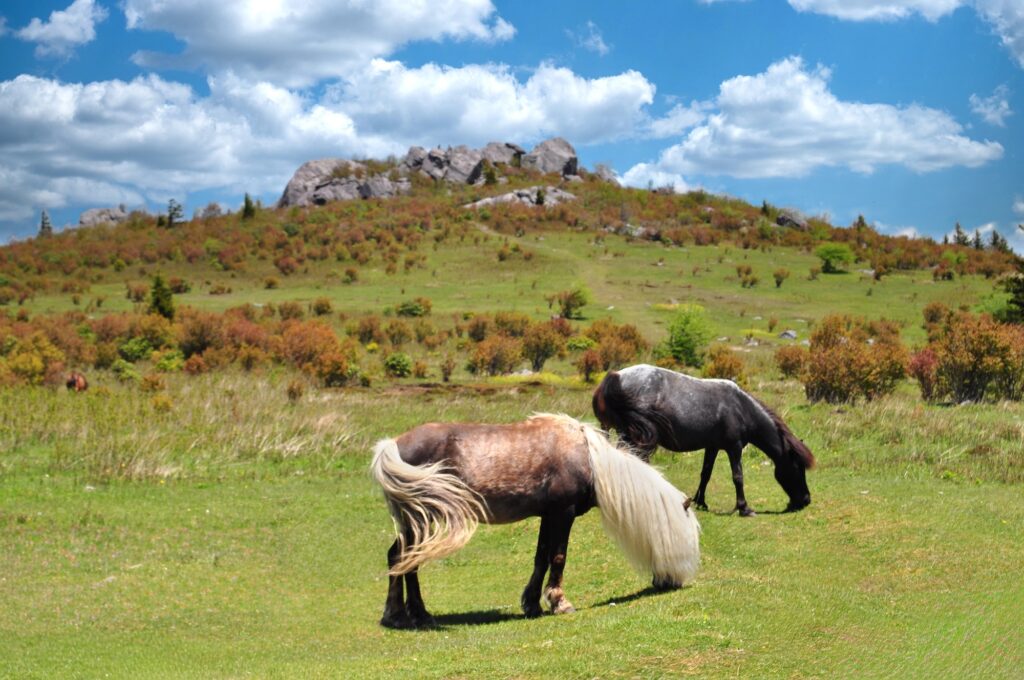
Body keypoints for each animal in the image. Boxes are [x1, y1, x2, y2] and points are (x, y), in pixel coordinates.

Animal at [371, 413, 700, 629]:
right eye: (686, 541)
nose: (675, 582)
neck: (588, 459)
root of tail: (393, 445)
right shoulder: (563, 513)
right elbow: (558, 557)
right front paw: (559, 602)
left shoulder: (548, 515)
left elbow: (541, 557)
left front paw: (531, 603)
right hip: (419, 517)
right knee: (405, 558)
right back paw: (406, 615)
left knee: (402, 558)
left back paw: (407, 614)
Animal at [593, 364, 815, 517]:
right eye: (798, 468)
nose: (806, 500)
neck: (741, 408)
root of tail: (616, 376)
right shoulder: (734, 448)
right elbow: (738, 476)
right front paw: (744, 508)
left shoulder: (713, 447)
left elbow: (705, 474)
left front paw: (701, 502)